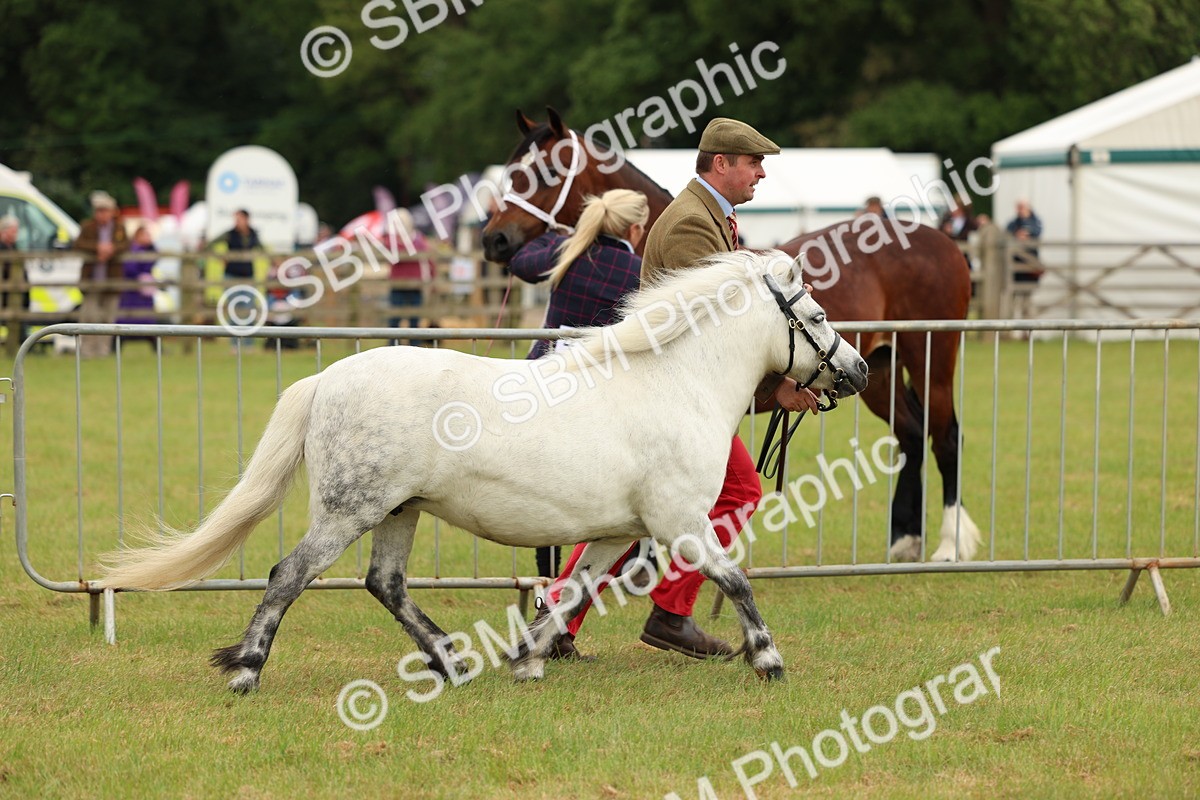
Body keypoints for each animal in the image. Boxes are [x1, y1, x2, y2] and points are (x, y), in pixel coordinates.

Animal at [99, 249, 869, 693]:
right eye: (816, 314)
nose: (859, 370)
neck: (676, 383)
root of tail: (326, 379)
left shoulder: (618, 532)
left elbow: (567, 592)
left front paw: (528, 660)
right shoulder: (680, 522)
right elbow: (736, 581)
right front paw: (767, 660)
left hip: (398, 512)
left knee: (385, 583)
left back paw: (451, 661)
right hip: (349, 509)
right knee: (289, 574)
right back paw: (247, 670)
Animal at [482, 108, 981, 563]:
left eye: (545, 172)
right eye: (510, 171)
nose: (494, 240)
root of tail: (944, 241)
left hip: (932, 359)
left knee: (946, 437)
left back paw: (950, 545)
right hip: (879, 368)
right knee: (912, 434)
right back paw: (905, 541)